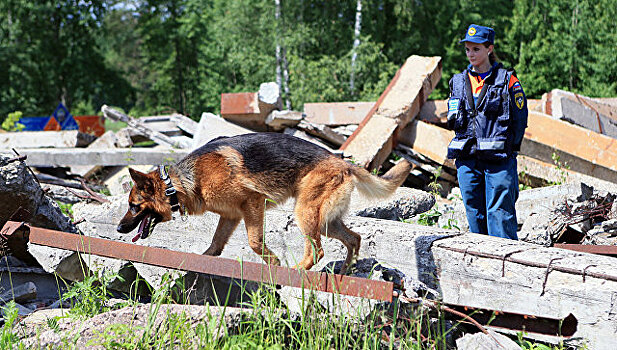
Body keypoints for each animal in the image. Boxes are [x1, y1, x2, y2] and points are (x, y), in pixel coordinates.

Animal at [118, 133, 412, 272]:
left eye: (133, 206)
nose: (119, 229)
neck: (180, 182)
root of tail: (343, 162)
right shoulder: (231, 216)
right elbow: (215, 244)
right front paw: (203, 261)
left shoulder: (252, 204)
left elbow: (254, 242)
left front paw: (275, 265)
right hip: (325, 221)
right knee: (354, 239)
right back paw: (345, 271)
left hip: (305, 213)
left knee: (317, 251)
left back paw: (297, 271)